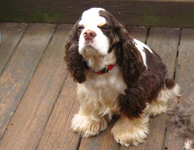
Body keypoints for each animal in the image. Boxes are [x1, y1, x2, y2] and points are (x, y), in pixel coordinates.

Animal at [65, 7, 180, 146]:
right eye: (81, 28)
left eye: (105, 28)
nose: (88, 34)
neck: (102, 69)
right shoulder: (87, 91)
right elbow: (90, 105)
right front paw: (88, 121)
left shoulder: (133, 91)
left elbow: (131, 111)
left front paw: (128, 132)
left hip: (161, 77)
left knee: (165, 91)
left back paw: (154, 106)